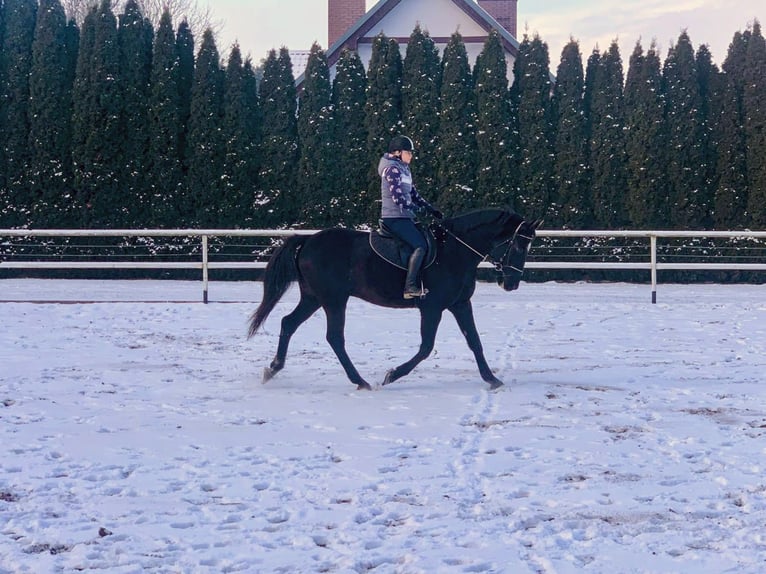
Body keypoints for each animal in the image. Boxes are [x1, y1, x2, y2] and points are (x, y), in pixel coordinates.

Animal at [248, 208, 542, 390]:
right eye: (518, 244)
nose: (511, 283)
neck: (455, 250)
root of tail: (308, 241)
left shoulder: (459, 304)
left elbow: (475, 341)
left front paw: (491, 379)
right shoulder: (432, 307)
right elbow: (426, 347)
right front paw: (392, 375)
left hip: (313, 297)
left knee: (288, 323)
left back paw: (273, 369)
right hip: (333, 299)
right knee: (334, 337)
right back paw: (360, 381)